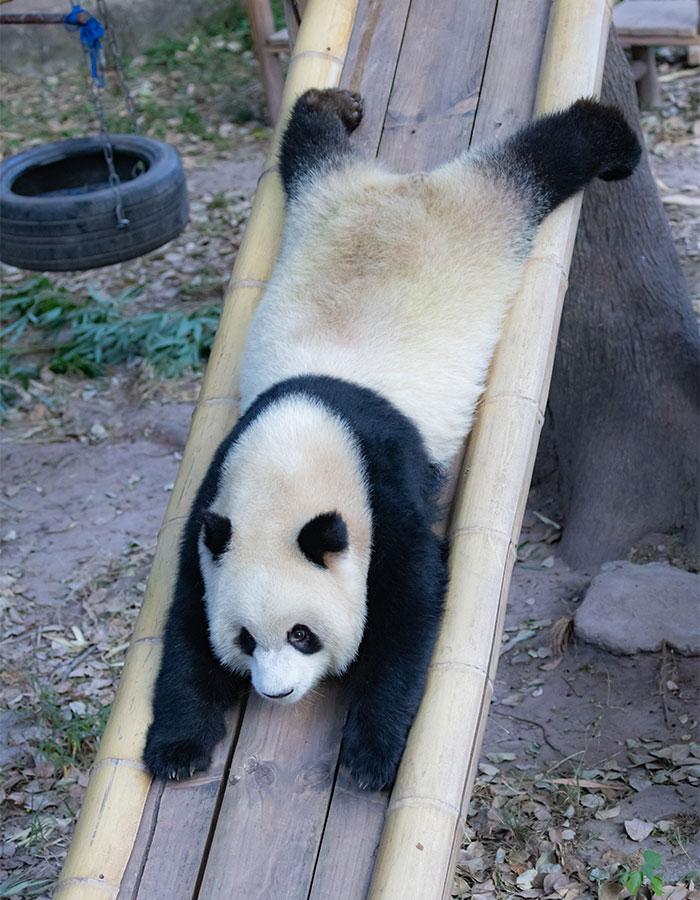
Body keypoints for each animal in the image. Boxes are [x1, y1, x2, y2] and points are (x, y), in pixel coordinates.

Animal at [145, 88, 644, 792]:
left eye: (302, 635)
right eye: (246, 638)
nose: (275, 693)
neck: (296, 443)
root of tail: (402, 187)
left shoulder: (381, 474)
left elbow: (413, 600)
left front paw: (370, 755)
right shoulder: (216, 498)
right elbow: (189, 615)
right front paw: (178, 746)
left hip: (483, 211)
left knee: (543, 160)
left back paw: (607, 137)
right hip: (320, 195)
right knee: (307, 144)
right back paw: (334, 106)